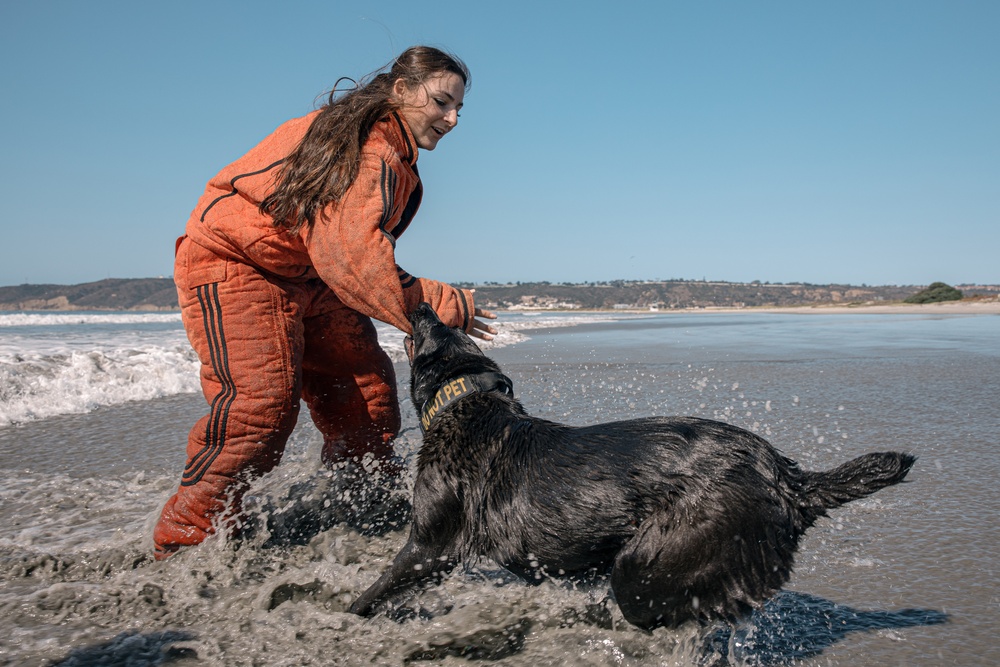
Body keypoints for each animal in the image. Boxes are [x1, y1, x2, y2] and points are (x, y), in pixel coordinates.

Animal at [350, 306, 916, 628]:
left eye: (432, 329)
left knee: (652, 609)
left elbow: (381, 585)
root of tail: (787, 478)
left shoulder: (431, 547)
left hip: (648, 560)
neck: (467, 403)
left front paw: (350, 615)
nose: (421, 301)